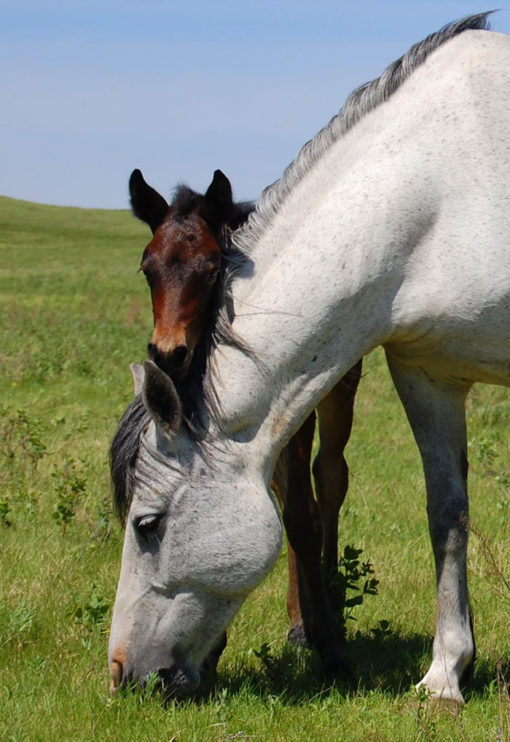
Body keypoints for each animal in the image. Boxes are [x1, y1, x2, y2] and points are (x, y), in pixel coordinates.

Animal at [125, 167, 361, 669]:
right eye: (147, 268)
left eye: (212, 269)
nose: (168, 353)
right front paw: (213, 647)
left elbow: (302, 516)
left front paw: (328, 638)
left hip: (337, 395)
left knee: (330, 479)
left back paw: (330, 591)